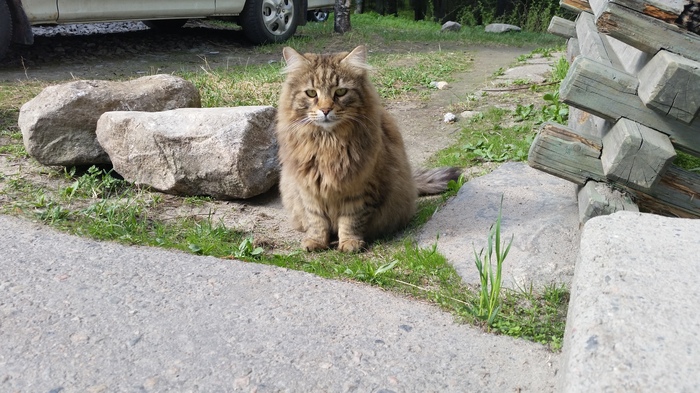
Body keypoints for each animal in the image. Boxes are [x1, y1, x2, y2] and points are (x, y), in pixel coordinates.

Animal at [276, 46, 462, 253]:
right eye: (311, 93)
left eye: (340, 92)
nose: (325, 110)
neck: (329, 143)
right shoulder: (309, 188)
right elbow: (316, 220)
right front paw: (316, 241)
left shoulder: (360, 188)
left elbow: (351, 220)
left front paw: (349, 243)